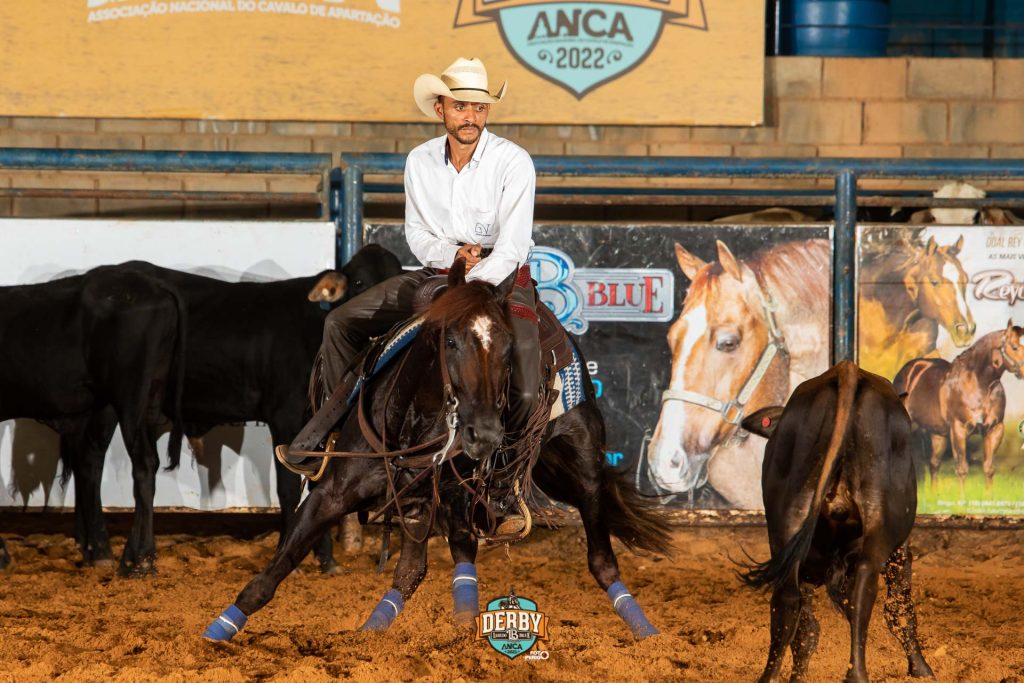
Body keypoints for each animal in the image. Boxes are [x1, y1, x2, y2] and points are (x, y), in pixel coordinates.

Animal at [100, 245, 399, 573]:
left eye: (399, 278)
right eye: (359, 283)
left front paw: (326, 559)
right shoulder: (285, 417)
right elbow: (288, 489)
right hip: (125, 402)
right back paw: (129, 558)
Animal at [205, 259, 671, 643]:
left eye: (507, 350)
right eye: (450, 341)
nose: (484, 434)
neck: (411, 418)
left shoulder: (451, 493)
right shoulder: (335, 493)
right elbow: (278, 566)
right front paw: (217, 632)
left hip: (578, 465)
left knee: (600, 557)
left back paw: (647, 632)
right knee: (418, 569)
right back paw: (375, 633)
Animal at [741, 360, 933, 679]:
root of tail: (846, 369)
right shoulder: (900, 550)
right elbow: (899, 609)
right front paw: (921, 668)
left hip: (789, 520)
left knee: (787, 599)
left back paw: (772, 676)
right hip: (881, 527)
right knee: (863, 591)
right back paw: (856, 674)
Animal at [892, 321, 1024, 497]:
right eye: (1015, 347)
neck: (979, 385)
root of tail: (908, 370)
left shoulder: (994, 430)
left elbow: (988, 468)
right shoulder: (958, 430)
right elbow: (962, 468)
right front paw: (962, 499)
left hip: (938, 434)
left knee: (934, 463)